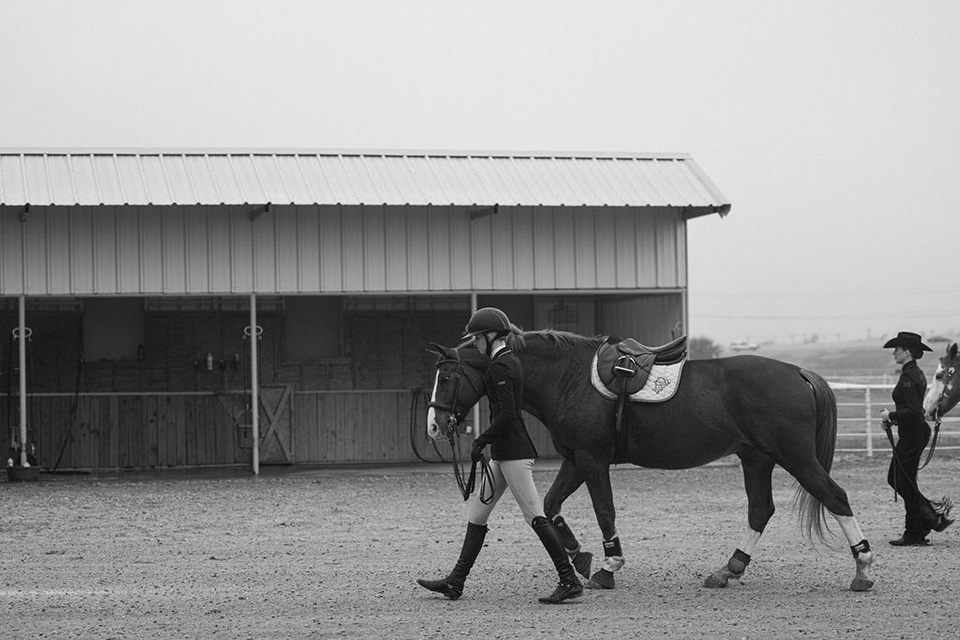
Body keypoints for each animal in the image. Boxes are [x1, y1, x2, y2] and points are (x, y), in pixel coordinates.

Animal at [424, 332, 872, 592]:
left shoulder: (592, 459)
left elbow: (604, 509)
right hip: (757, 459)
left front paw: (608, 566)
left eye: (447, 377)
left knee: (835, 497)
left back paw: (863, 569)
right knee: (761, 509)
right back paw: (728, 570)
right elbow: (551, 507)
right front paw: (580, 557)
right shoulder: (575, 459)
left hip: (794, 456)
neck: (567, 378)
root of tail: (799, 372)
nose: (435, 425)